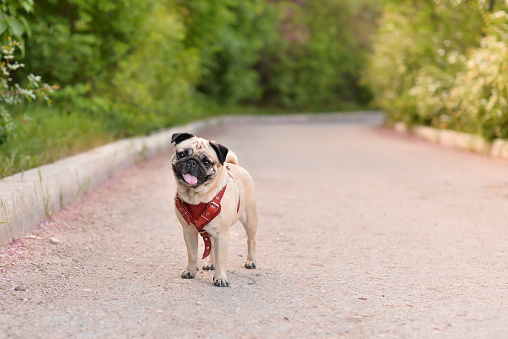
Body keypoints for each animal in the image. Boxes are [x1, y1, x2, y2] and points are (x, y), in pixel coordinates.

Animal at [171, 133, 258, 286]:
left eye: (207, 162)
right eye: (181, 154)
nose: (192, 162)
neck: (196, 196)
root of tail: (235, 166)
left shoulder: (222, 234)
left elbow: (221, 259)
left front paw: (220, 278)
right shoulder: (189, 231)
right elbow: (192, 254)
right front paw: (190, 271)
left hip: (250, 219)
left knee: (251, 240)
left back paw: (250, 261)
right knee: (210, 245)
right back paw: (210, 263)